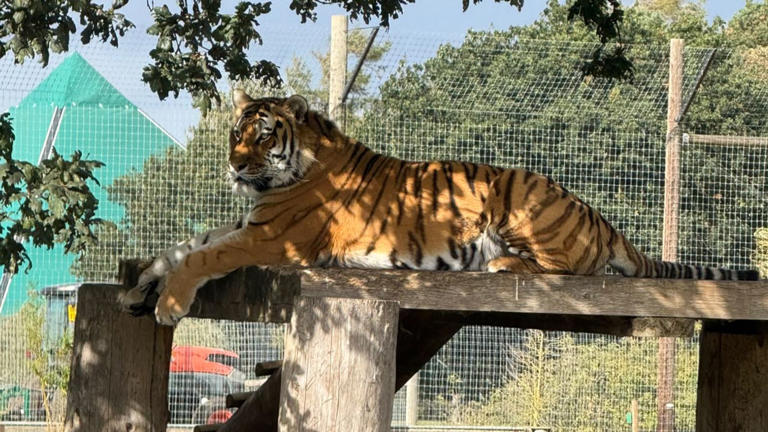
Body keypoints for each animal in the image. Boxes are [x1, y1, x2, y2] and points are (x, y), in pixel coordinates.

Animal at [120, 90, 760, 326]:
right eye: (235, 135)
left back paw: (501, 264)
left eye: (261, 136)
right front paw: (136, 285)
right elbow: (181, 247)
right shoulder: (249, 222)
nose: (235, 167)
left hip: (519, 194)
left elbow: (202, 257)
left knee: (571, 269)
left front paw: (168, 305)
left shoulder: (275, 237)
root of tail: (605, 222)